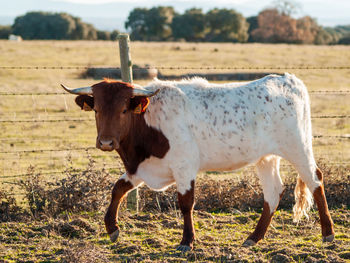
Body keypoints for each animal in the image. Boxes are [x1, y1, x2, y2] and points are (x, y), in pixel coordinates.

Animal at [61, 73, 334, 252]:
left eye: (123, 110)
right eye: (97, 110)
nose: (106, 142)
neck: (149, 122)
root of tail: (288, 79)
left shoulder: (184, 167)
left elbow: (186, 203)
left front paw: (186, 241)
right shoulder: (141, 167)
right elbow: (117, 189)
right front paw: (112, 228)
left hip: (298, 147)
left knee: (315, 181)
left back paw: (328, 233)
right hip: (265, 157)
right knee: (273, 192)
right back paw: (253, 238)